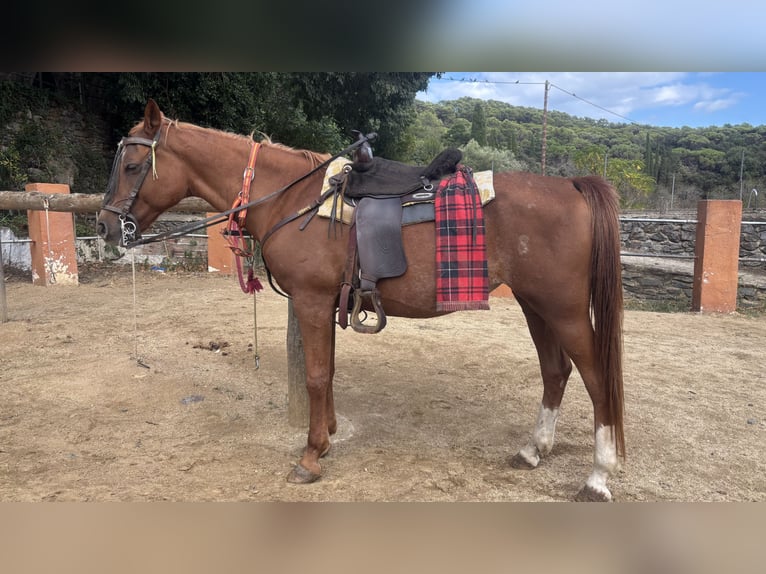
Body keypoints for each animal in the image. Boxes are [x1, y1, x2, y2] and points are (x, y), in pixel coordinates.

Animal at [97, 99, 625, 501]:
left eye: (132, 166)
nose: (104, 227)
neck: (290, 199)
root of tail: (572, 186)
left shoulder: (311, 301)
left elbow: (314, 376)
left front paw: (310, 456)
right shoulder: (328, 303)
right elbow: (327, 371)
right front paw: (328, 435)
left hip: (563, 309)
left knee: (597, 379)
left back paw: (597, 477)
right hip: (536, 306)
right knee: (556, 371)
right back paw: (534, 450)